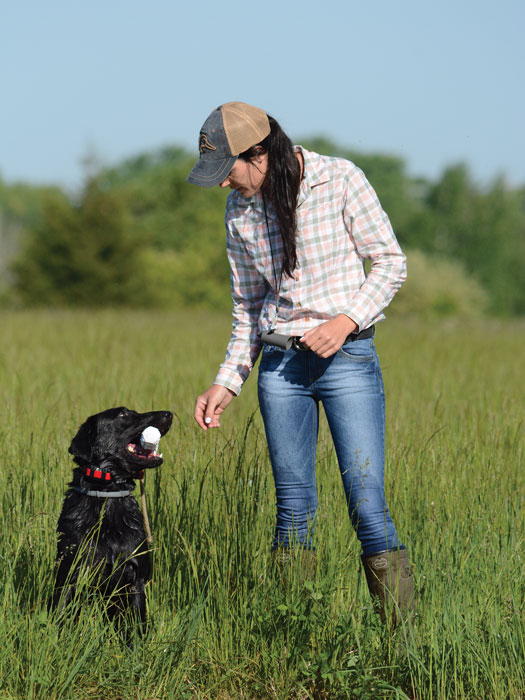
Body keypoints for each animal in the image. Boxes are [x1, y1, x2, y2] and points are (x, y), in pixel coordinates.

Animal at [51, 402, 171, 636]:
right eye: (123, 414)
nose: (169, 414)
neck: (107, 493)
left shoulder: (136, 580)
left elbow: (137, 627)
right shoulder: (69, 576)